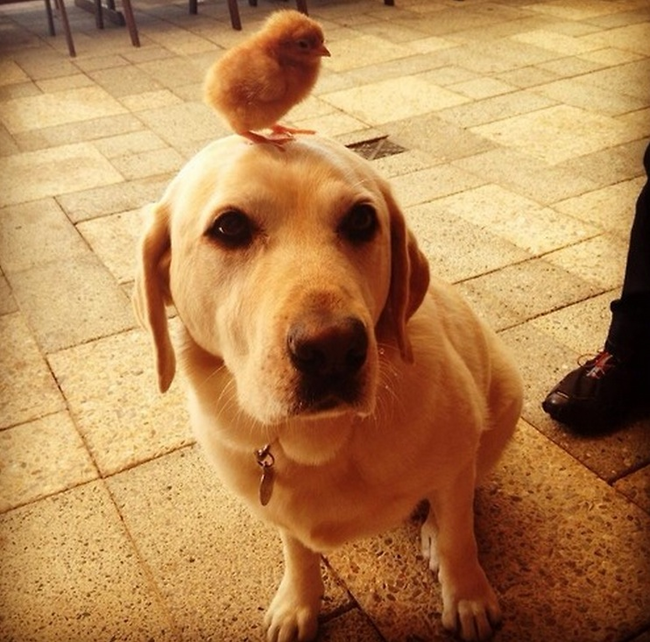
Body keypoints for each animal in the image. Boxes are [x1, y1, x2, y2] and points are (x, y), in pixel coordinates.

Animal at [132, 135, 520, 640]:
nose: (333, 348)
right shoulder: (280, 509)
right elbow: (298, 554)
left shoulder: (456, 451)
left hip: (506, 398)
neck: (321, 443)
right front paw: (299, 604)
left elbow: (459, 536)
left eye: (361, 219)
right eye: (230, 226)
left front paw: (469, 596)